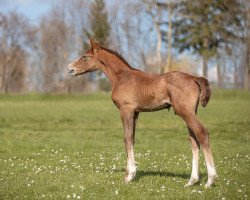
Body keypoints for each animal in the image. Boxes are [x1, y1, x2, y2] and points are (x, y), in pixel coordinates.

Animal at [67, 38, 218, 188]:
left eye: (85, 56)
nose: (69, 68)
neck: (121, 77)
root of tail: (193, 78)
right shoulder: (136, 113)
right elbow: (132, 139)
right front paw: (128, 174)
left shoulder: (126, 110)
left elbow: (127, 138)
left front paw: (129, 176)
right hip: (191, 112)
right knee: (194, 140)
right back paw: (192, 181)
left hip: (185, 112)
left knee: (202, 133)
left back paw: (210, 180)